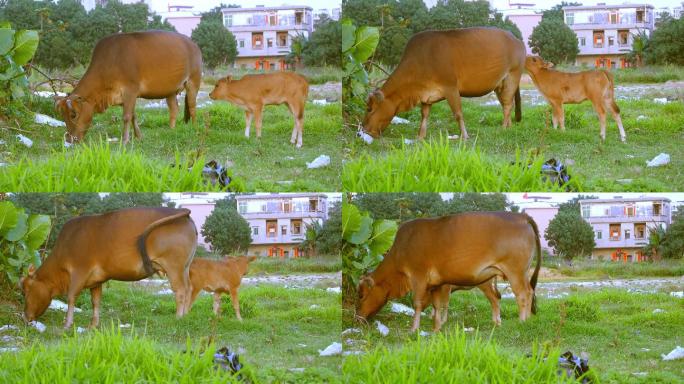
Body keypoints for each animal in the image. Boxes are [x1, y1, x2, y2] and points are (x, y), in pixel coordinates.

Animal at [18, 208, 199, 328]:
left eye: (25, 291)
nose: (24, 317)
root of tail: (184, 214)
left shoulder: (79, 272)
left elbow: (71, 297)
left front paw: (67, 324)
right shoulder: (96, 280)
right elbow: (96, 302)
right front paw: (93, 325)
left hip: (174, 267)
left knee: (181, 290)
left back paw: (178, 318)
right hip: (185, 267)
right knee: (189, 288)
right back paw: (187, 316)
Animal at [55, 30, 200, 145]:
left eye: (73, 114)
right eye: (62, 115)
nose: (69, 139)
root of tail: (193, 44)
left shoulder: (131, 90)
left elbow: (126, 116)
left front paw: (125, 140)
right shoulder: (126, 97)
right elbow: (133, 116)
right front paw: (138, 136)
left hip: (193, 81)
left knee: (192, 106)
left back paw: (194, 127)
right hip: (170, 91)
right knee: (174, 109)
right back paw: (171, 129)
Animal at [358, 212, 540, 332]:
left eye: (361, 295)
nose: (357, 316)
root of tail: (520, 216)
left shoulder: (419, 277)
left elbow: (418, 303)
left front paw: (414, 329)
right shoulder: (438, 284)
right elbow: (437, 305)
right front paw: (436, 328)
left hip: (515, 272)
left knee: (523, 294)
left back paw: (523, 322)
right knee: (511, 295)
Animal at [364, 27, 524, 140]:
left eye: (370, 109)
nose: (364, 129)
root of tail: (517, 40)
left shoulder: (451, 87)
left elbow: (458, 113)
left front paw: (464, 136)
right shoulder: (426, 95)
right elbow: (424, 115)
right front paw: (420, 136)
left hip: (512, 76)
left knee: (508, 105)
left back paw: (503, 128)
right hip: (499, 85)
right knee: (507, 104)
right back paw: (509, 126)